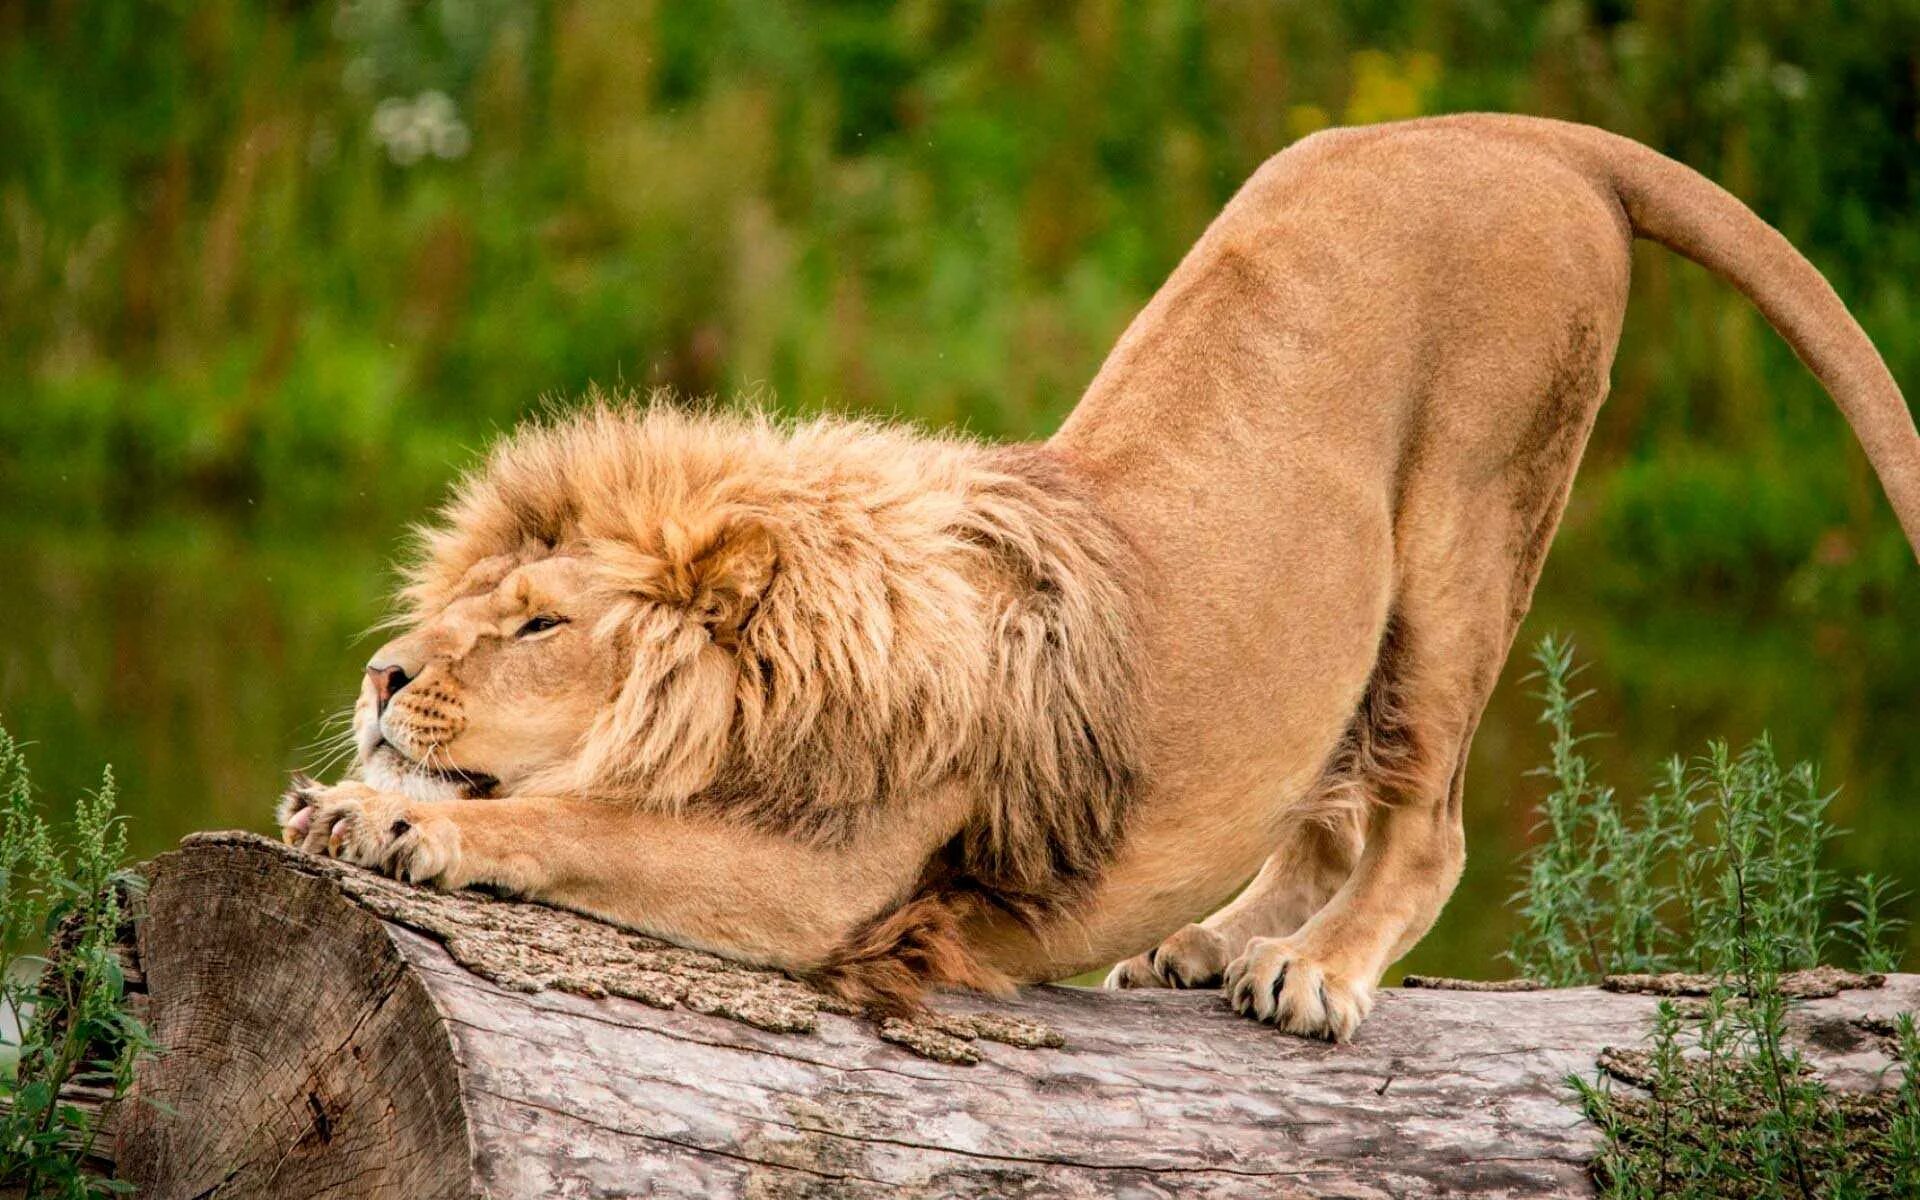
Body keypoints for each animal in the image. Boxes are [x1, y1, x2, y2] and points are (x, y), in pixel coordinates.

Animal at [280, 117, 1920, 1044]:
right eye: (448, 617)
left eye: (541, 625)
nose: (379, 676)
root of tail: (1534, 134)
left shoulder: (841, 877)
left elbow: (582, 823)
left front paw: (382, 817)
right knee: (1325, 803)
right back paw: (1216, 946)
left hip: (1470, 529)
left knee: (1428, 823)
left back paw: (1317, 975)